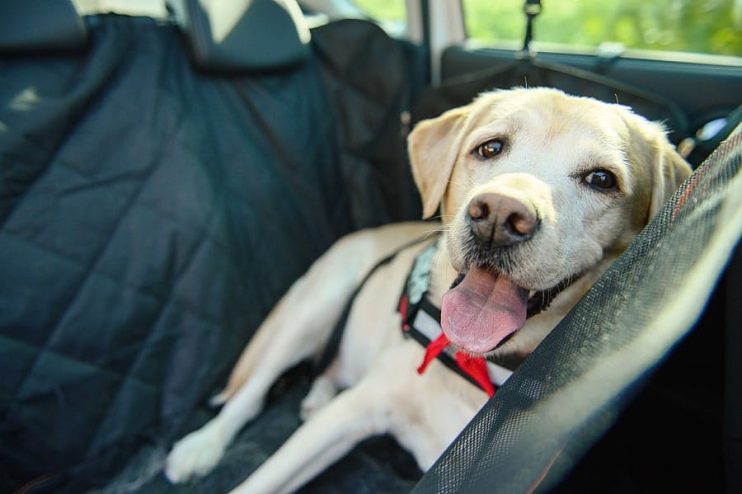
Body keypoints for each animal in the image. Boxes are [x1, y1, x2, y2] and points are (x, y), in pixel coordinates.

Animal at [166, 87, 696, 492]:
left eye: (602, 179)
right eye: (490, 148)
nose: (498, 216)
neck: (476, 363)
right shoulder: (351, 413)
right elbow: (261, 478)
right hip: (318, 302)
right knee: (251, 394)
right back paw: (201, 446)